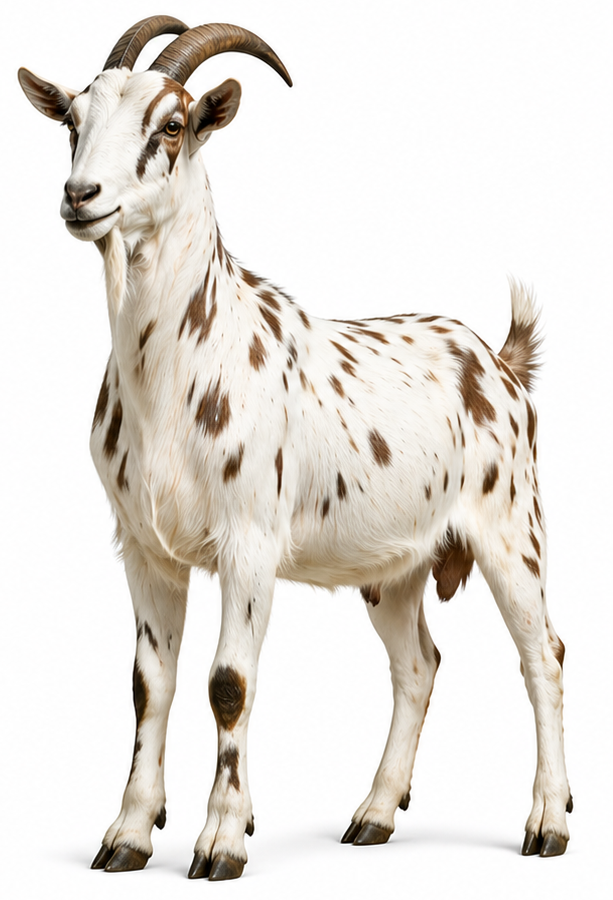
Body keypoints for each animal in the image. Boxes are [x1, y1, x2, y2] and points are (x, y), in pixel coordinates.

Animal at [19, 14, 571, 881]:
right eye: (73, 120)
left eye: (171, 125)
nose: (82, 198)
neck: (174, 375)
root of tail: (500, 362)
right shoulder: (143, 547)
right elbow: (149, 685)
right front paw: (129, 834)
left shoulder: (248, 541)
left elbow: (228, 684)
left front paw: (219, 842)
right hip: (396, 567)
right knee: (417, 664)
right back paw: (373, 813)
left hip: (510, 526)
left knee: (541, 654)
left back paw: (546, 821)